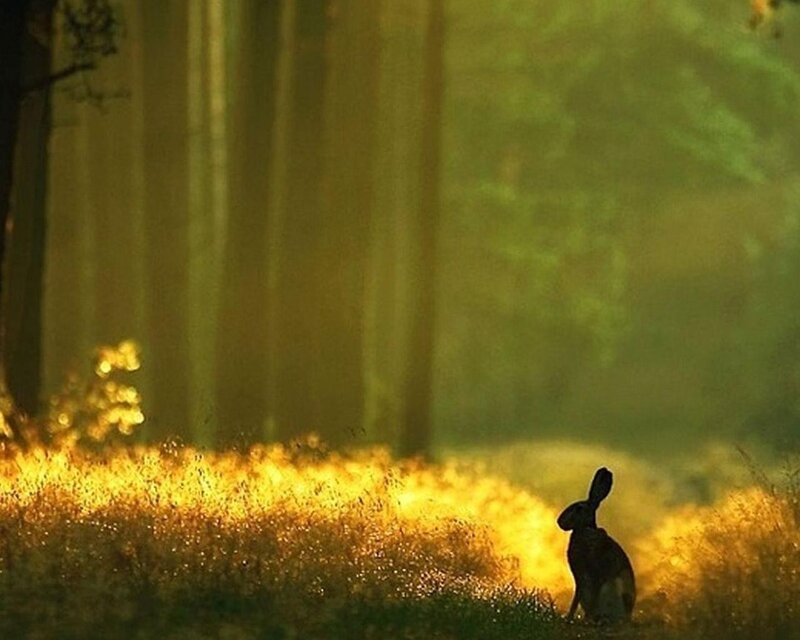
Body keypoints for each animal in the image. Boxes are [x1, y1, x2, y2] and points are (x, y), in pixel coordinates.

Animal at [557, 467, 636, 623]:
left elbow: (594, 595)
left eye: (579, 509)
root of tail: (628, 616)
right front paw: (569, 618)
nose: (559, 522)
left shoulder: (595, 572)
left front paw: (584, 619)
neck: (584, 529)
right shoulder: (579, 579)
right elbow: (576, 598)